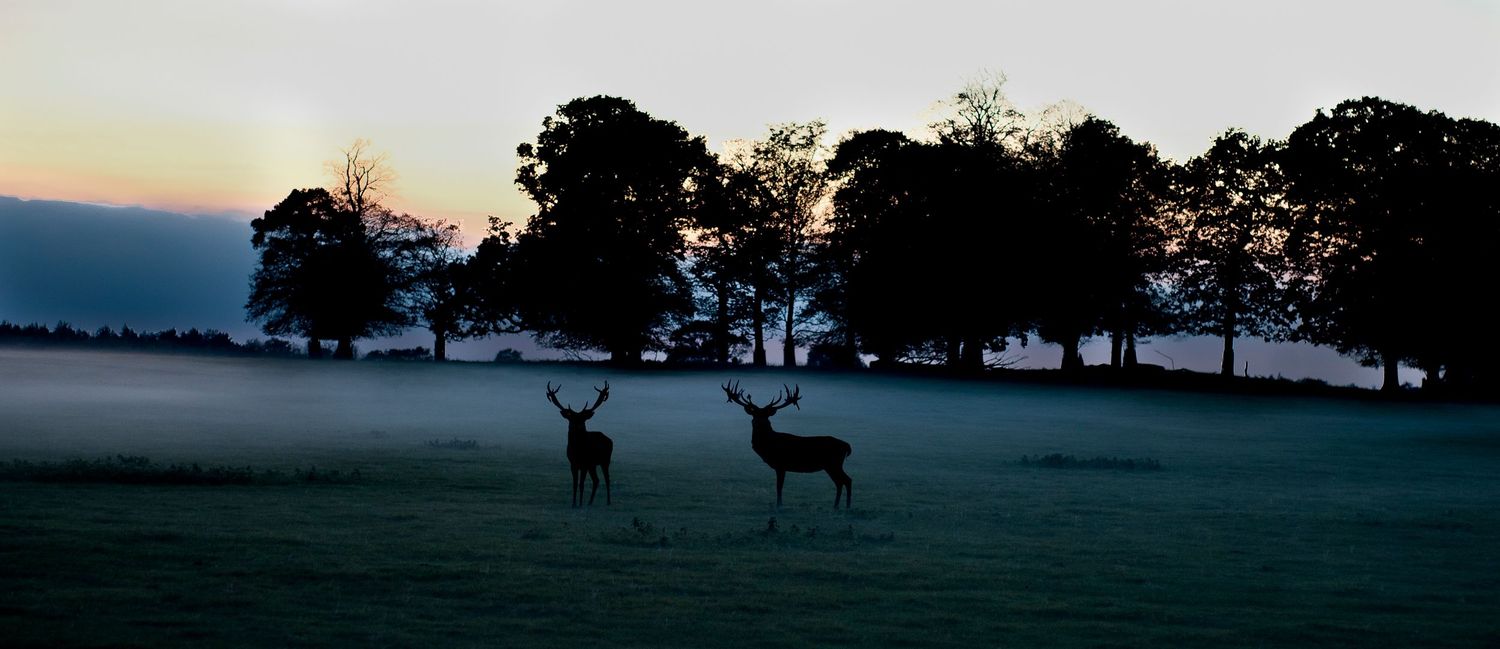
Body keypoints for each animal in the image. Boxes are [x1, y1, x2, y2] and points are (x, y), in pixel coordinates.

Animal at [722, 382, 853, 509]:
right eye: (754, 415)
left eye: (766, 416)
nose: (759, 422)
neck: (768, 445)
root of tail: (846, 445)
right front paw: (779, 504)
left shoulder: (781, 464)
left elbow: (779, 486)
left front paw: (779, 505)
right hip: (831, 465)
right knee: (841, 482)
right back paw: (837, 505)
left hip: (833, 463)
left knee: (846, 480)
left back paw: (846, 506)